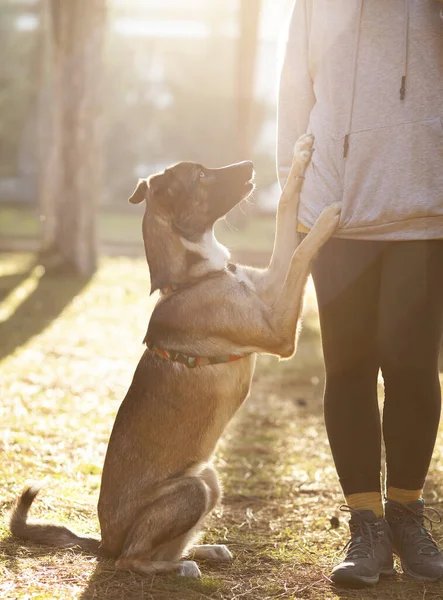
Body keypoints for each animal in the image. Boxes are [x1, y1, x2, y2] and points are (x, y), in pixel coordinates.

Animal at [10, 135, 342, 576]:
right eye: (200, 175)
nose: (250, 165)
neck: (192, 278)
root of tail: (105, 542)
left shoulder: (269, 288)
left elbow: (286, 216)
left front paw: (301, 159)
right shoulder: (280, 334)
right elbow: (301, 254)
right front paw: (326, 221)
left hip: (210, 478)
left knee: (160, 549)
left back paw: (201, 552)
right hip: (191, 490)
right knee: (133, 560)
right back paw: (178, 568)